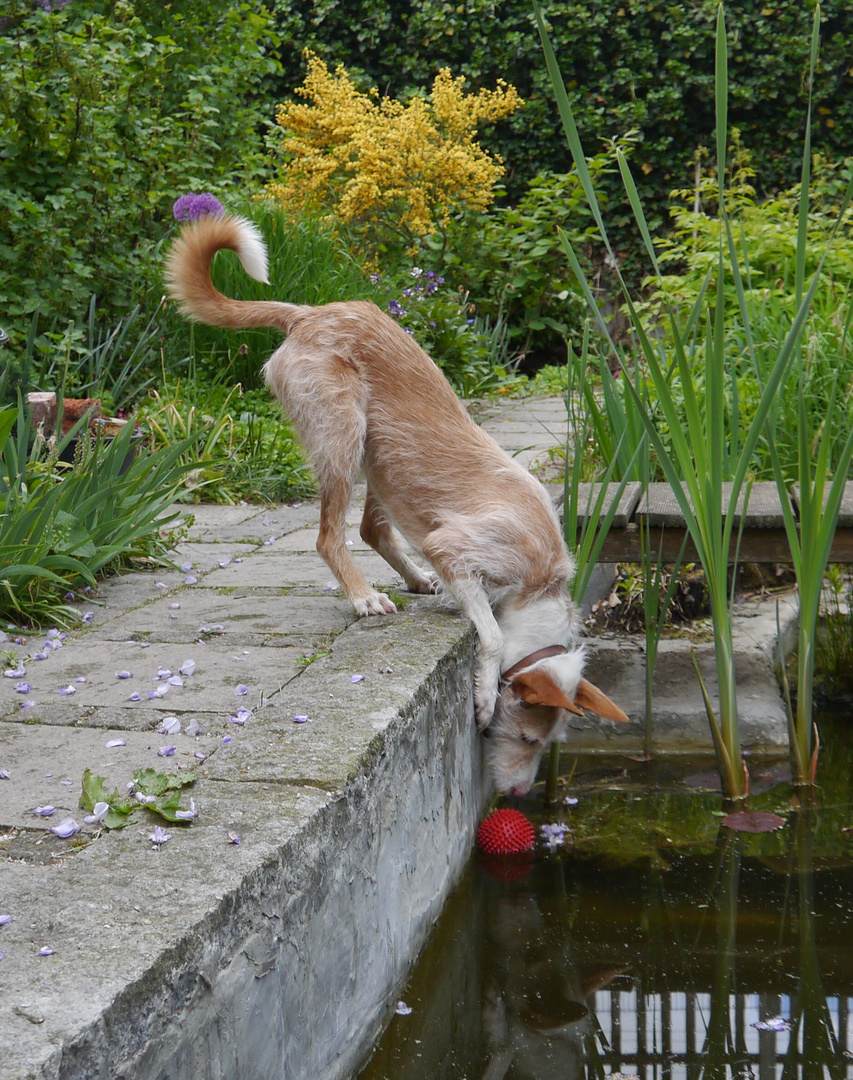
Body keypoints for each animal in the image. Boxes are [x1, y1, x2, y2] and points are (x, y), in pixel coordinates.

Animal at [165, 214, 626, 799]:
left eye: (546, 745)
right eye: (527, 738)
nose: (519, 795)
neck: (541, 582)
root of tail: (309, 313)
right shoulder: (452, 546)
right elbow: (493, 635)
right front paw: (483, 693)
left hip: (380, 459)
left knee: (371, 530)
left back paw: (413, 580)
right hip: (344, 435)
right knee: (330, 537)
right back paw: (363, 597)